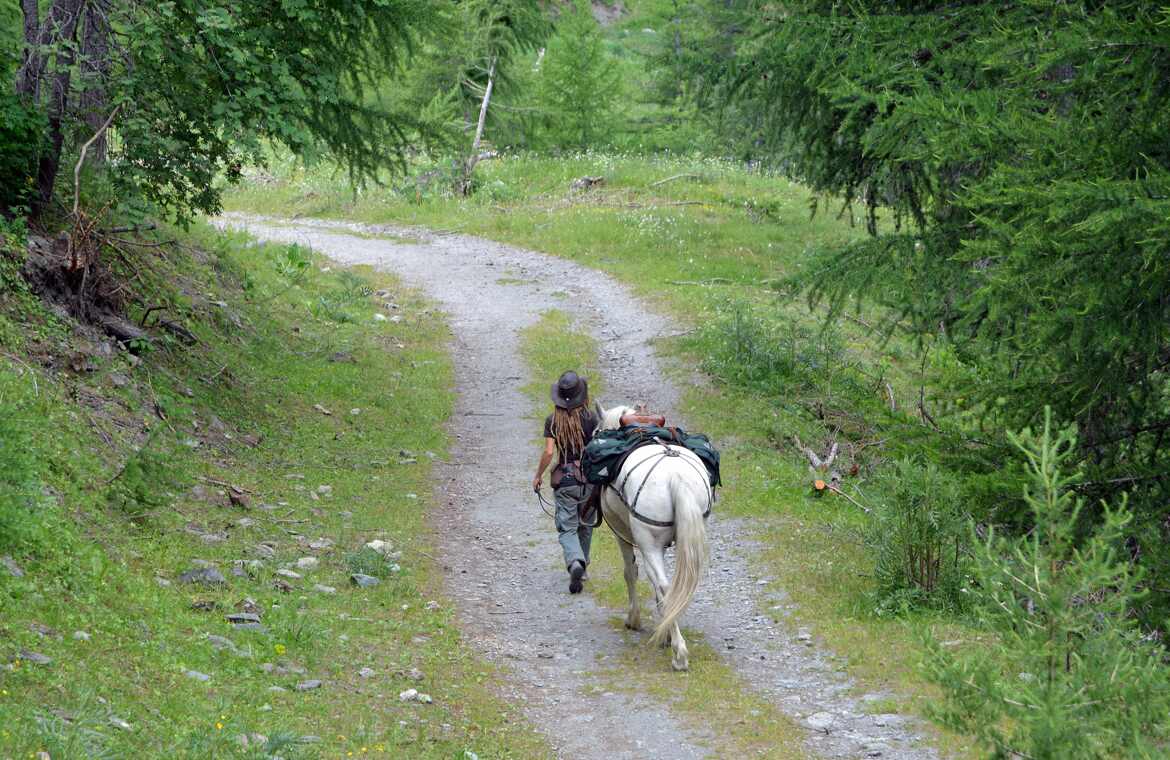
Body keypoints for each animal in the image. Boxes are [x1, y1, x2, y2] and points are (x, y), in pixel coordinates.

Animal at [594, 402, 711, 668]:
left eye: (597, 430)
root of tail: (677, 477)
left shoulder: (624, 536)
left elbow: (632, 573)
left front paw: (635, 619)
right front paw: (663, 625)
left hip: (647, 541)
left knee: (666, 585)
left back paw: (679, 653)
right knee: (674, 584)